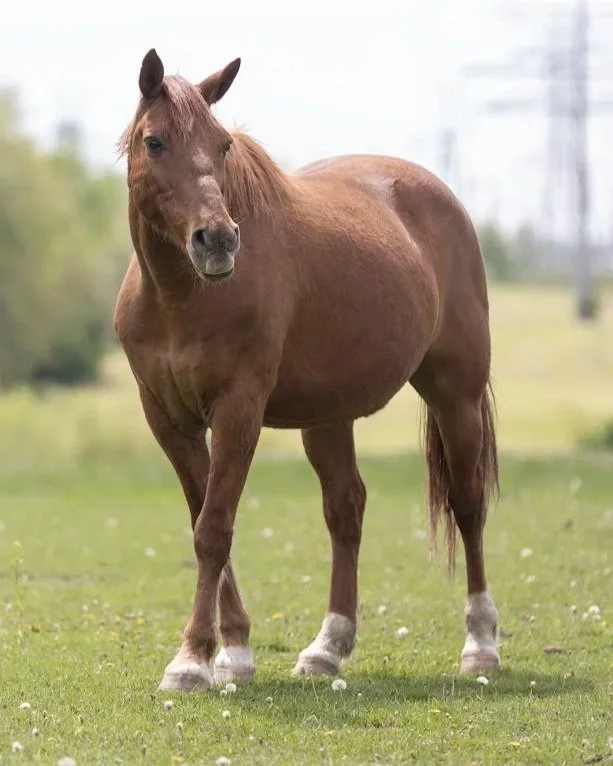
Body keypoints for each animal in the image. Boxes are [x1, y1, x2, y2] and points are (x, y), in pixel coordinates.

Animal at [114, 49, 501, 692]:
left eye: (222, 145)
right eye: (155, 141)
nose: (218, 240)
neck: (180, 298)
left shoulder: (239, 408)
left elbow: (214, 529)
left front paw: (191, 660)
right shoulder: (167, 418)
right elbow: (205, 520)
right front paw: (233, 650)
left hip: (456, 396)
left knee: (467, 505)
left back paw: (481, 644)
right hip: (328, 418)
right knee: (347, 509)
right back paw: (327, 648)